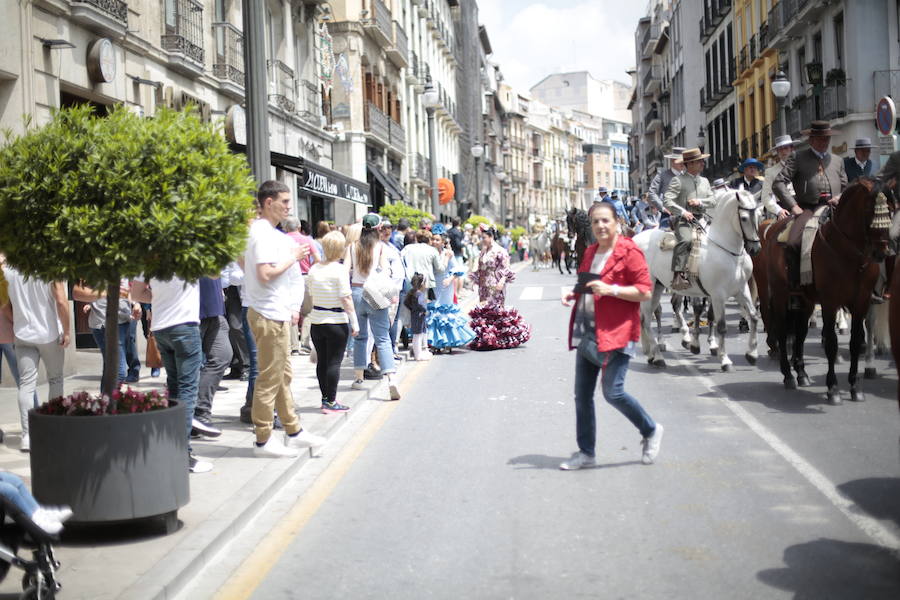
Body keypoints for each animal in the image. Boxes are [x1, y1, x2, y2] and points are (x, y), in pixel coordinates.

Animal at [632, 190, 760, 372]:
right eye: (743, 218)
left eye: (759, 215)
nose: (755, 248)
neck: (727, 252)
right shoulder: (718, 295)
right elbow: (721, 326)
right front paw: (725, 360)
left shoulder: (741, 290)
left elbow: (754, 316)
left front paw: (752, 354)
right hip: (649, 288)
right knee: (647, 320)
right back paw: (658, 356)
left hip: (657, 287)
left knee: (648, 318)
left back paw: (652, 355)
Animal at [760, 178, 892, 404]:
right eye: (869, 208)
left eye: (890, 209)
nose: (882, 252)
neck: (851, 255)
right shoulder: (830, 301)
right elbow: (831, 342)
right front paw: (833, 388)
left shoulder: (861, 301)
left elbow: (856, 341)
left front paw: (855, 386)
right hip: (779, 294)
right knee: (782, 330)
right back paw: (788, 376)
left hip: (805, 300)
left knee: (800, 332)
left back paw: (801, 373)